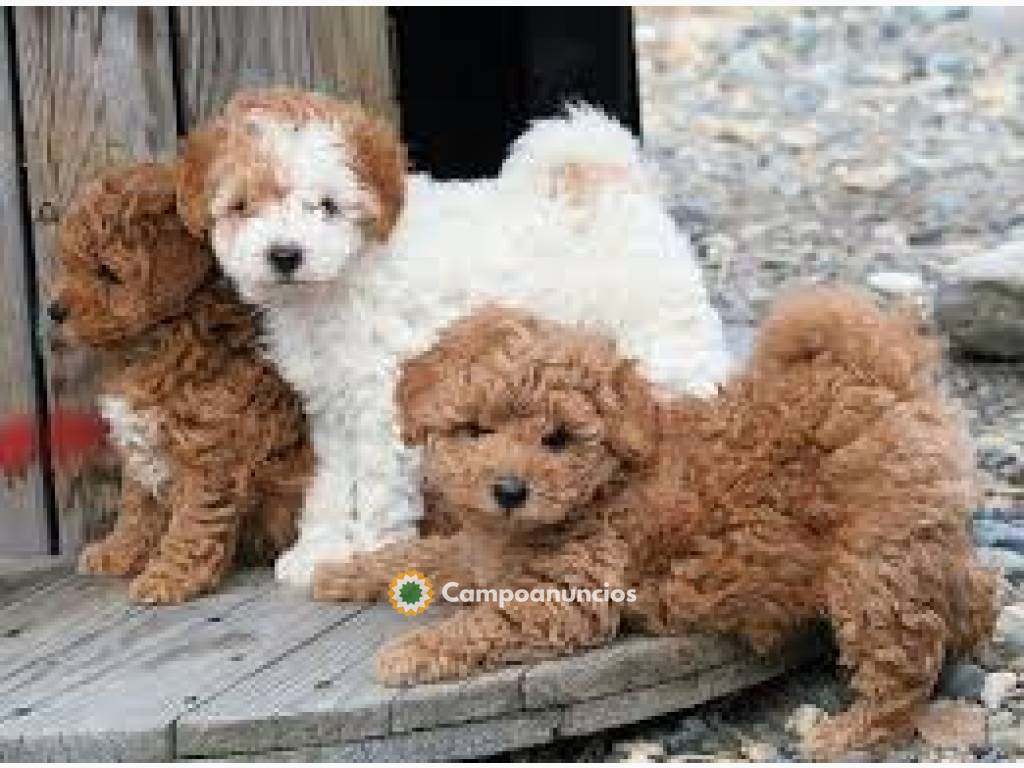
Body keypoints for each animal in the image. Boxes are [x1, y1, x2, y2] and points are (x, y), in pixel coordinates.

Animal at [52, 163, 307, 606]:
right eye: (70, 263)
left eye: (107, 272)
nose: (53, 311)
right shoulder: (138, 446)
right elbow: (135, 510)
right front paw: (118, 553)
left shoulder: (209, 453)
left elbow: (193, 521)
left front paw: (167, 577)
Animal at [178, 87, 737, 585]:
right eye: (241, 207)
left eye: (328, 206)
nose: (285, 255)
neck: (338, 282)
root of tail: (609, 181)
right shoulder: (332, 408)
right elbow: (333, 485)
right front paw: (318, 549)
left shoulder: (383, 403)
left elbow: (377, 489)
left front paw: (370, 555)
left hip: (665, 345)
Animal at [315, 290, 995, 761]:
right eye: (475, 430)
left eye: (557, 440)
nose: (509, 491)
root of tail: (881, 370)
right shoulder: (480, 549)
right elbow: (426, 555)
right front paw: (339, 572)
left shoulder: (569, 596)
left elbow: (487, 620)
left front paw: (411, 651)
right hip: (910, 534)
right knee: (970, 587)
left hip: (872, 564)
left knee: (903, 656)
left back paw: (851, 732)